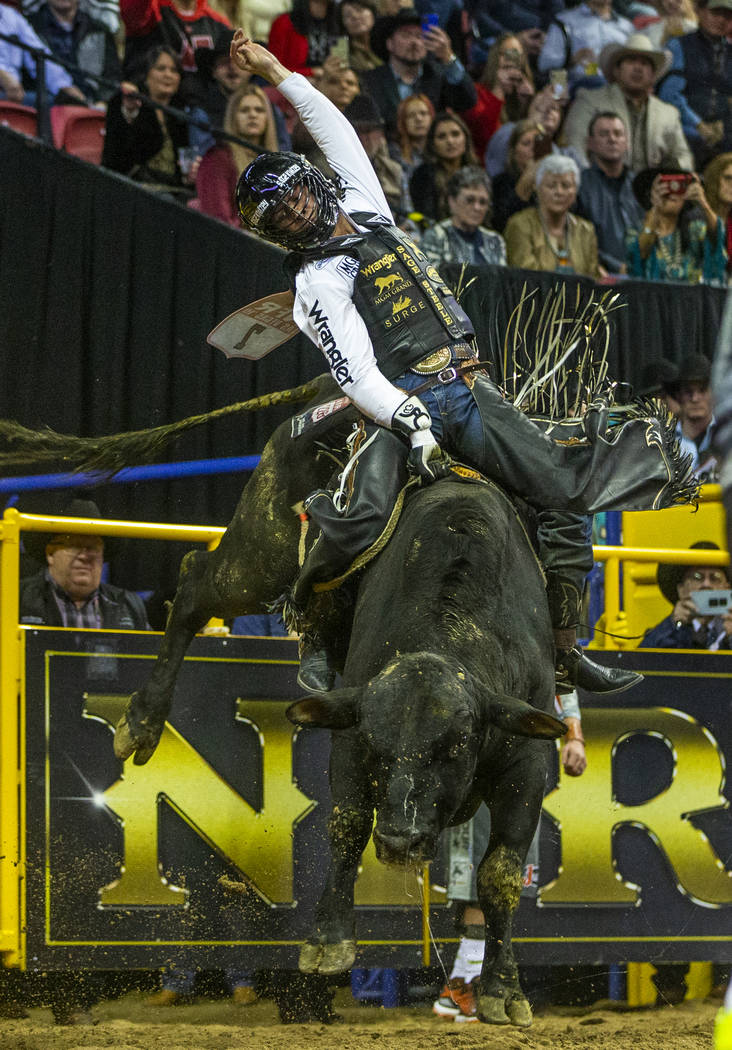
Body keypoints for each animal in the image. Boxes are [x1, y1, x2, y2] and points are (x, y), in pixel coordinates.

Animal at [111, 375, 562, 1024]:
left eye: (455, 748)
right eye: (379, 746)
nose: (400, 841)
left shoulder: (526, 760)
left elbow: (500, 873)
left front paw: (504, 990)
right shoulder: (352, 728)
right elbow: (347, 825)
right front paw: (328, 944)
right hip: (264, 550)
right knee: (197, 582)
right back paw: (142, 723)